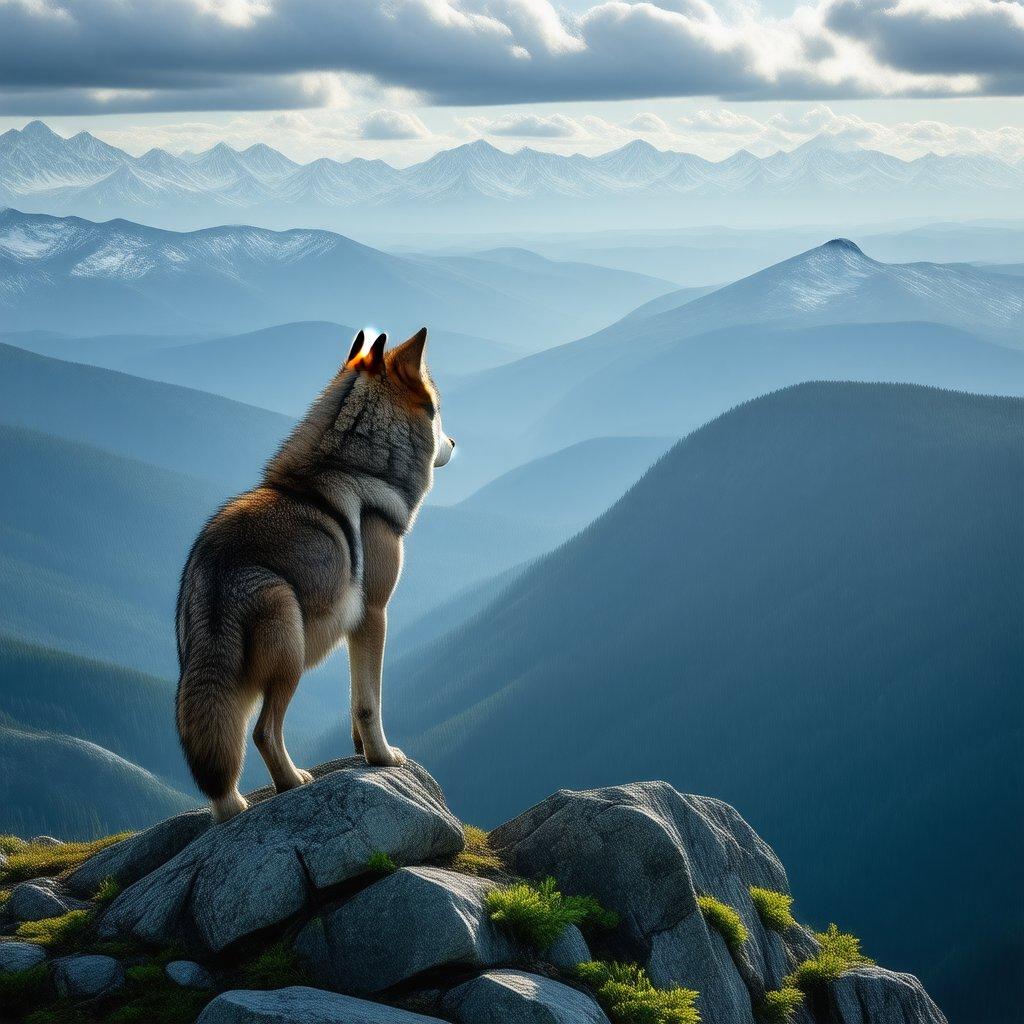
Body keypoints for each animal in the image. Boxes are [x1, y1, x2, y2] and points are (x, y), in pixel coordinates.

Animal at [174, 327, 454, 823]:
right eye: (438, 411)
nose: (456, 444)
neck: (358, 466)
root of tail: (212, 571)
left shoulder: (355, 626)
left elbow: (354, 700)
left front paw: (360, 751)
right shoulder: (375, 613)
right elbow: (370, 703)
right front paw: (382, 758)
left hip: (229, 684)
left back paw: (234, 808)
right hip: (291, 651)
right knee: (263, 733)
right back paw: (293, 782)